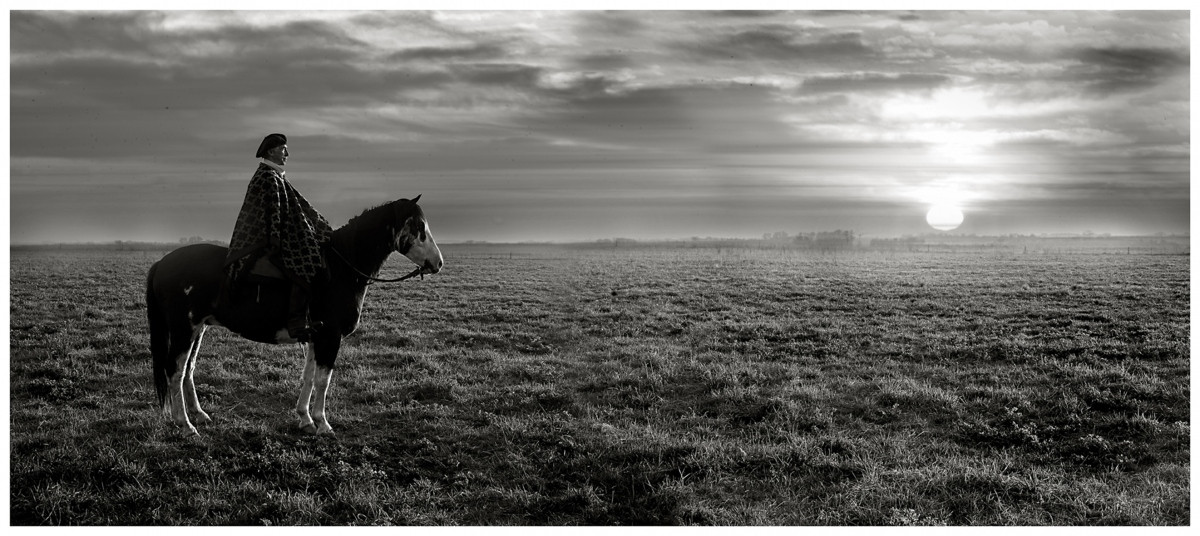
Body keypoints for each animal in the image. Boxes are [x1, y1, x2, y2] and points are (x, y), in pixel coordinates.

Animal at [145, 196, 444, 436]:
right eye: (419, 227)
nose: (438, 263)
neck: (340, 269)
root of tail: (162, 262)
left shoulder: (315, 337)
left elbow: (309, 377)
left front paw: (305, 419)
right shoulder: (330, 337)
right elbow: (323, 380)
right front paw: (323, 424)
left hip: (199, 329)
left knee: (188, 369)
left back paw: (198, 415)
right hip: (183, 329)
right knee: (175, 371)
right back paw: (185, 425)